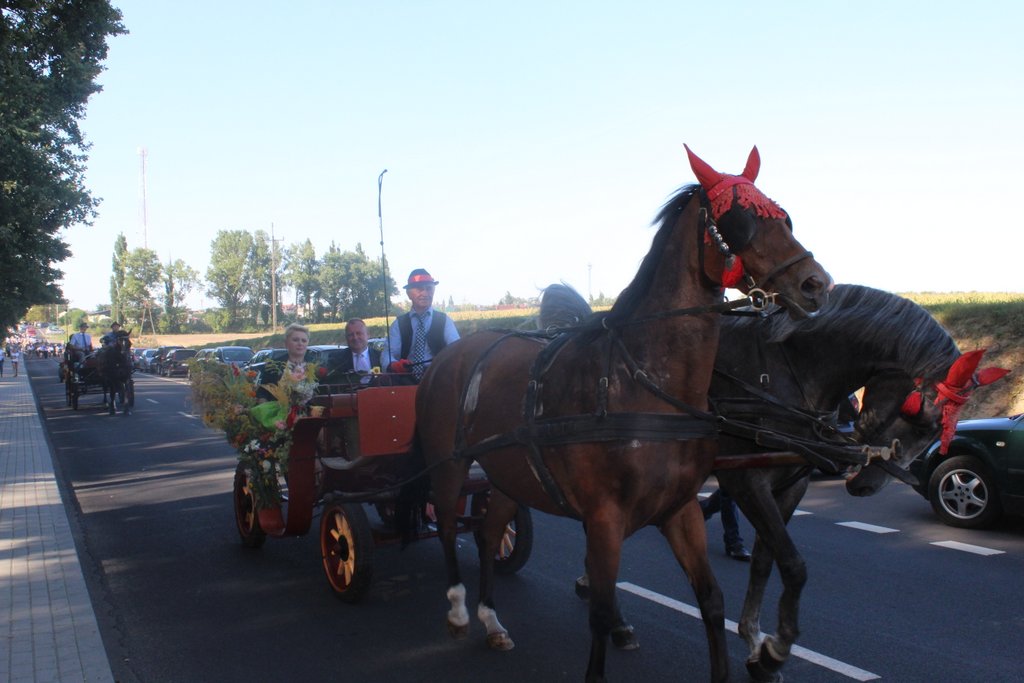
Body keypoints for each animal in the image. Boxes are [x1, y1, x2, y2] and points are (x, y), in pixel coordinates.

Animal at [399, 145, 832, 682]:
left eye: (784, 216)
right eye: (740, 221)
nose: (815, 284)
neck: (644, 382)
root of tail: (450, 355)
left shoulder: (680, 509)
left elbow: (711, 600)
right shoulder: (605, 519)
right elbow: (602, 612)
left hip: (506, 472)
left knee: (487, 531)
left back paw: (491, 619)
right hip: (452, 465)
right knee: (447, 523)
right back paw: (459, 608)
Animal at [548, 283, 1005, 682]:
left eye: (938, 432)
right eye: (919, 417)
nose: (866, 486)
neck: (785, 372)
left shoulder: (788, 488)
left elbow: (767, 563)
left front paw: (754, 643)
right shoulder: (746, 482)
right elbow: (794, 565)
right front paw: (774, 650)